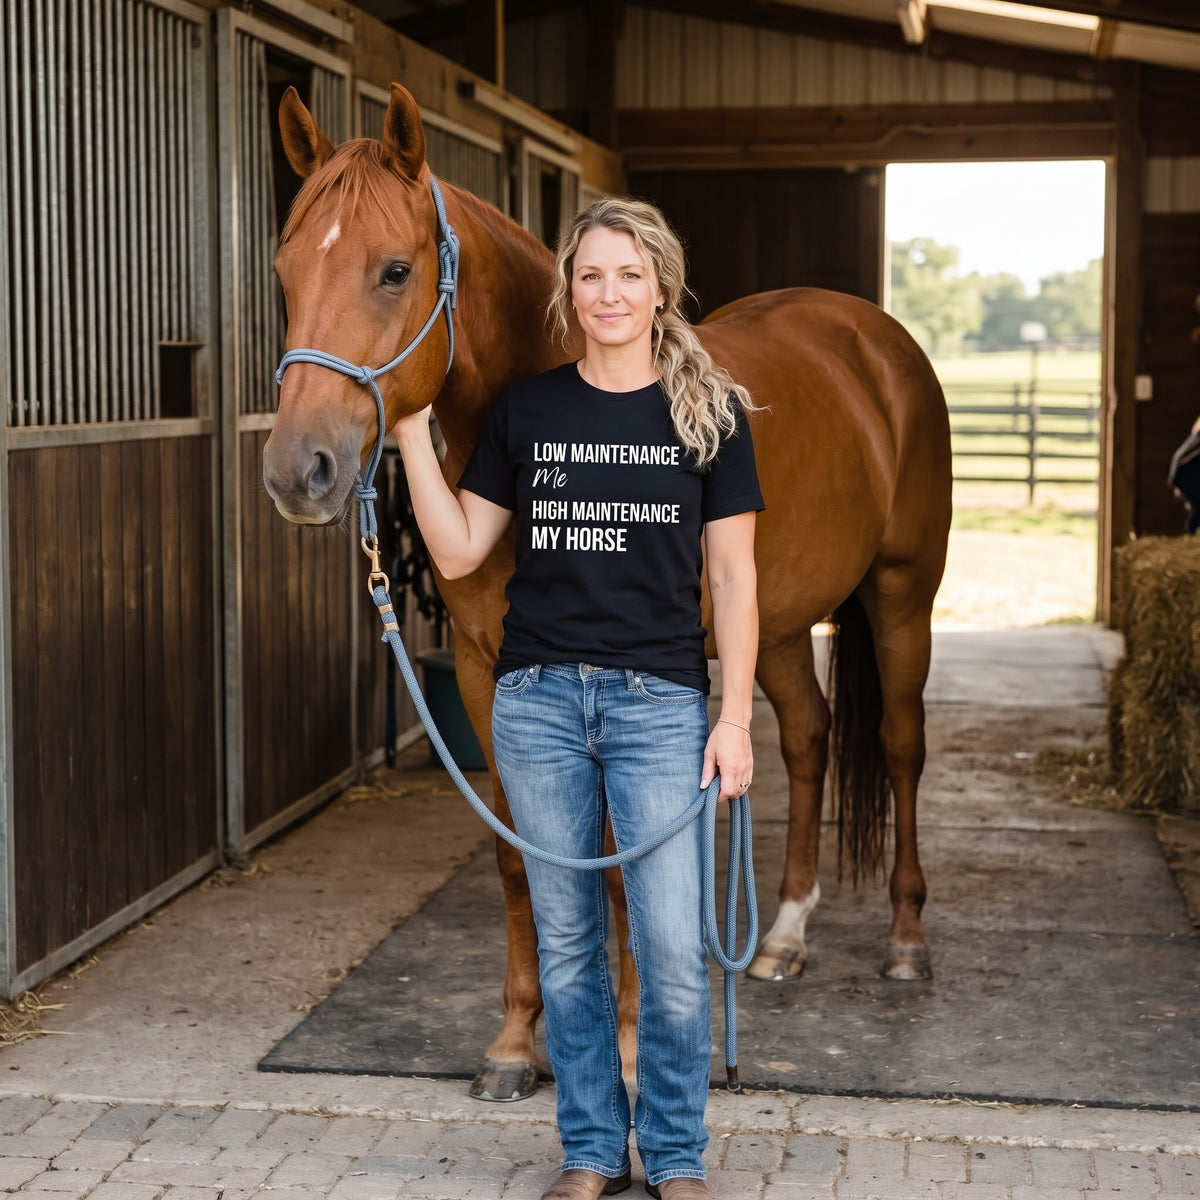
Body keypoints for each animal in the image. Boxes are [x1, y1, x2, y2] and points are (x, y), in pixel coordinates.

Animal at [264, 82, 953, 1103]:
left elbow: (627, 868)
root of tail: (874, 338)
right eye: (282, 274)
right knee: (809, 736)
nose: (296, 472)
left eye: (394, 271)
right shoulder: (490, 673)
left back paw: (906, 942)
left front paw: (630, 1051)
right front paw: (516, 1045)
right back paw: (782, 937)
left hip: (903, 594)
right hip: (777, 623)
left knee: (901, 747)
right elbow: (520, 856)